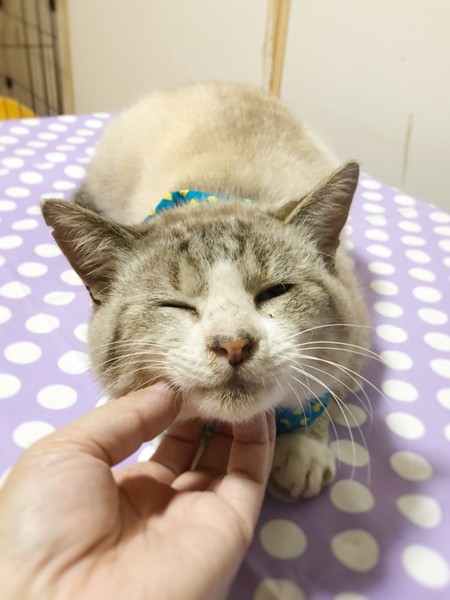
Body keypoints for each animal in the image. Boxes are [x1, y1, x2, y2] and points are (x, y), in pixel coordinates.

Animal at [42, 82, 370, 500]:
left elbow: (325, 390)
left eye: (275, 291)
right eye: (175, 305)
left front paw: (302, 448)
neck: (219, 192)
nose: (234, 344)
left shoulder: (357, 341)